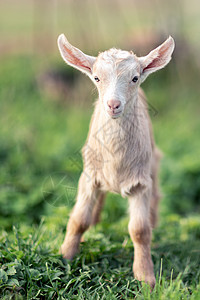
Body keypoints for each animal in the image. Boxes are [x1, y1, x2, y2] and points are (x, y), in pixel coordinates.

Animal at [57, 35, 174, 288]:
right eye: (96, 77)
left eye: (135, 78)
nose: (113, 105)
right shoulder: (88, 176)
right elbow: (78, 219)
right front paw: (65, 255)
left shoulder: (141, 182)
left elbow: (139, 230)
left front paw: (145, 277)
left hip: (153, 162)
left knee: (155, 198)